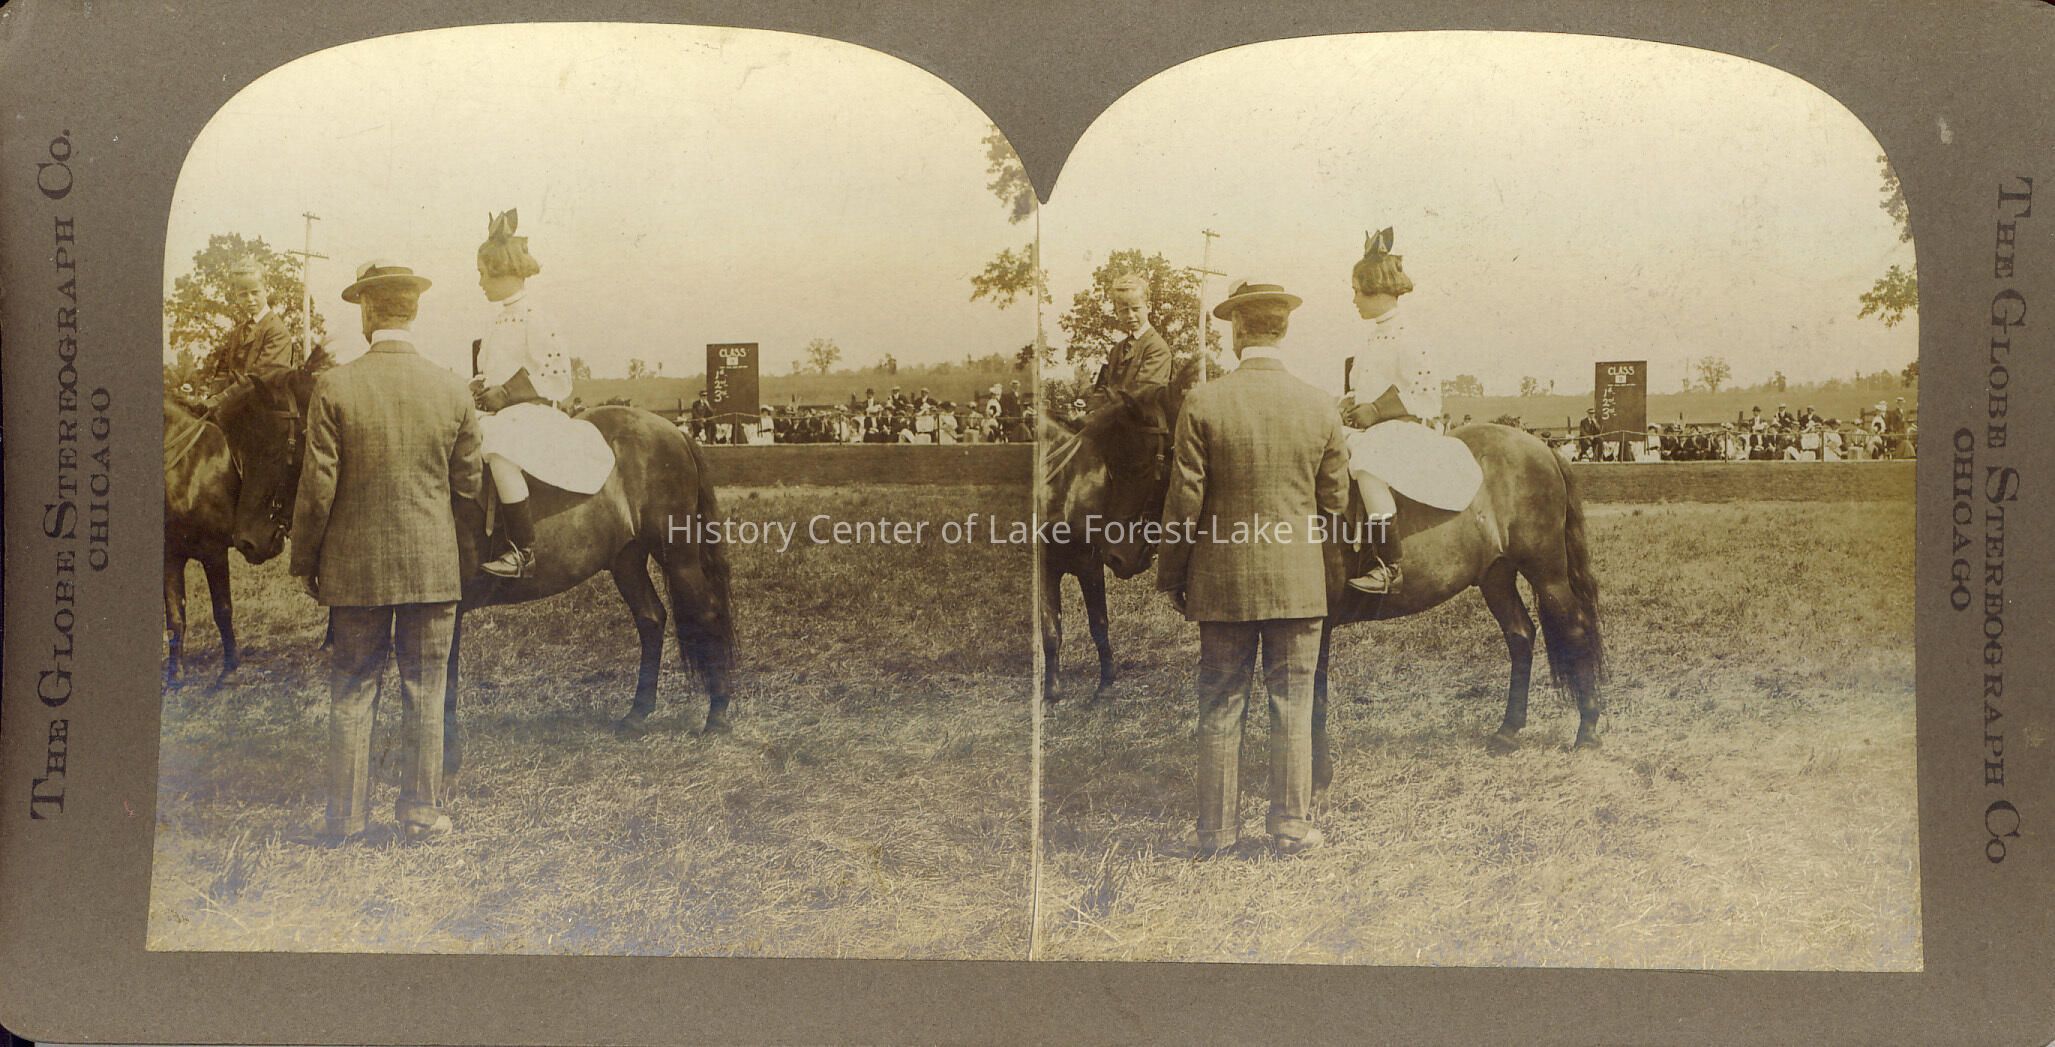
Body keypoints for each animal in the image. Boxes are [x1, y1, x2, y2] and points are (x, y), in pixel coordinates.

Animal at [162, 353, 324, 688]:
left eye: (274, 450)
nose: (249, 542)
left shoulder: (212, 550)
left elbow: (222, 609)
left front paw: (229, 670)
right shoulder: (170, 554)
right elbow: (175, 616)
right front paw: (175, 677)